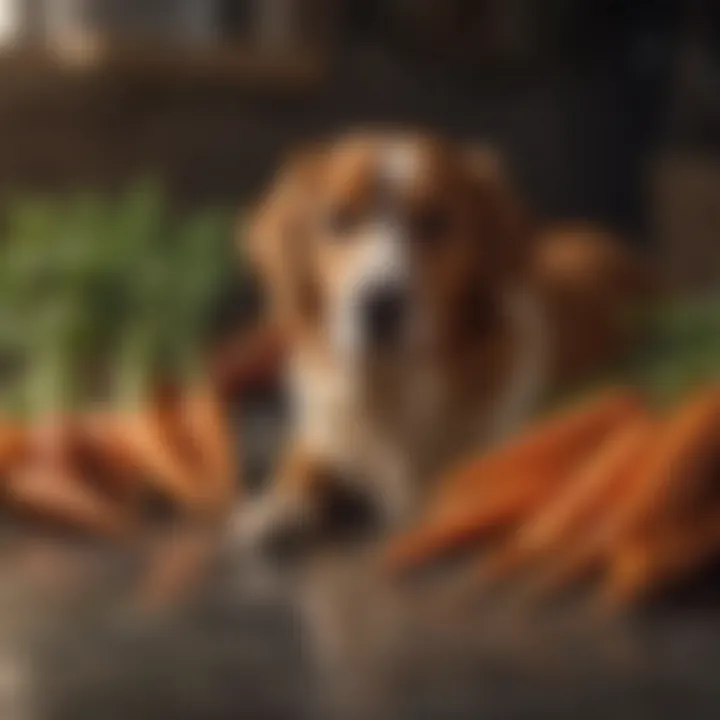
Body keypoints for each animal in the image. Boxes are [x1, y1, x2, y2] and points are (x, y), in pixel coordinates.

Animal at [233, 129, 648, 548]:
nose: (379, 305)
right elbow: (303, 463)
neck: (391, 388)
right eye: (339, 219)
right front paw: (273, 510)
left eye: (435, 221)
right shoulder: (324, 430)